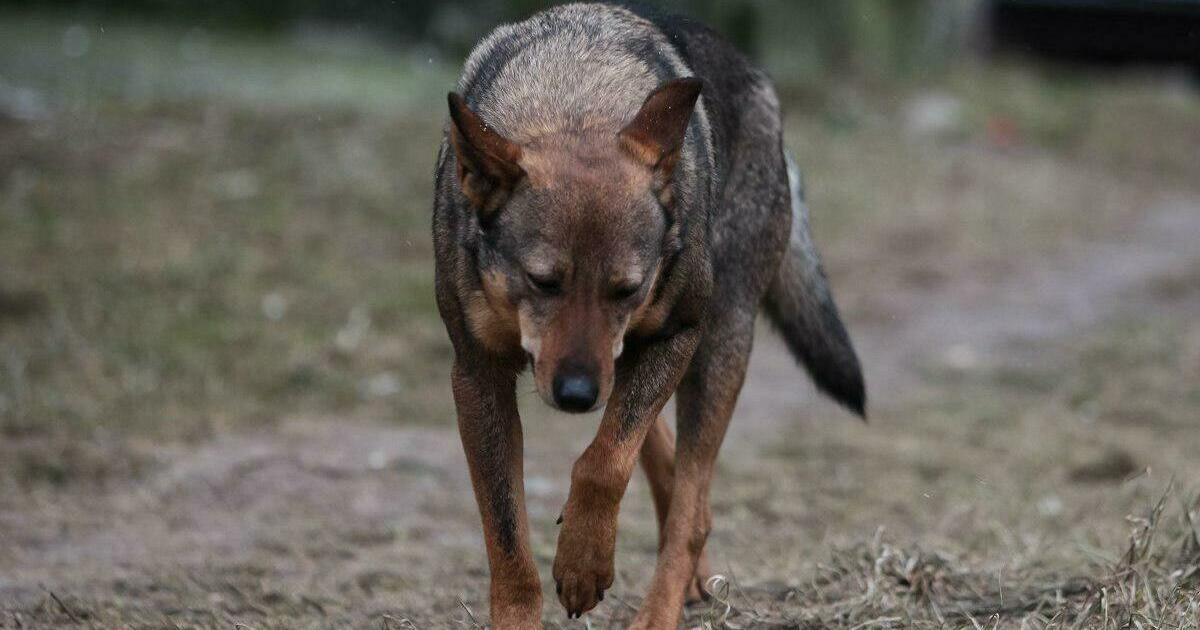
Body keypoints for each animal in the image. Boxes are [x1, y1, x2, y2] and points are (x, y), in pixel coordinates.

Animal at [432, 3, 864, 624]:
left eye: (627, 289)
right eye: (543, 282)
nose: (576, 395)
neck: (575, 100)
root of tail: (762, 85)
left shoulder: (674, 336)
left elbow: (604, 463)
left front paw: (583, 565)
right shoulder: (477, 376)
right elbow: (508, 540)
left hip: (716, 348)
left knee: (691, 509)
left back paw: (658, 613)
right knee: (672, 473)